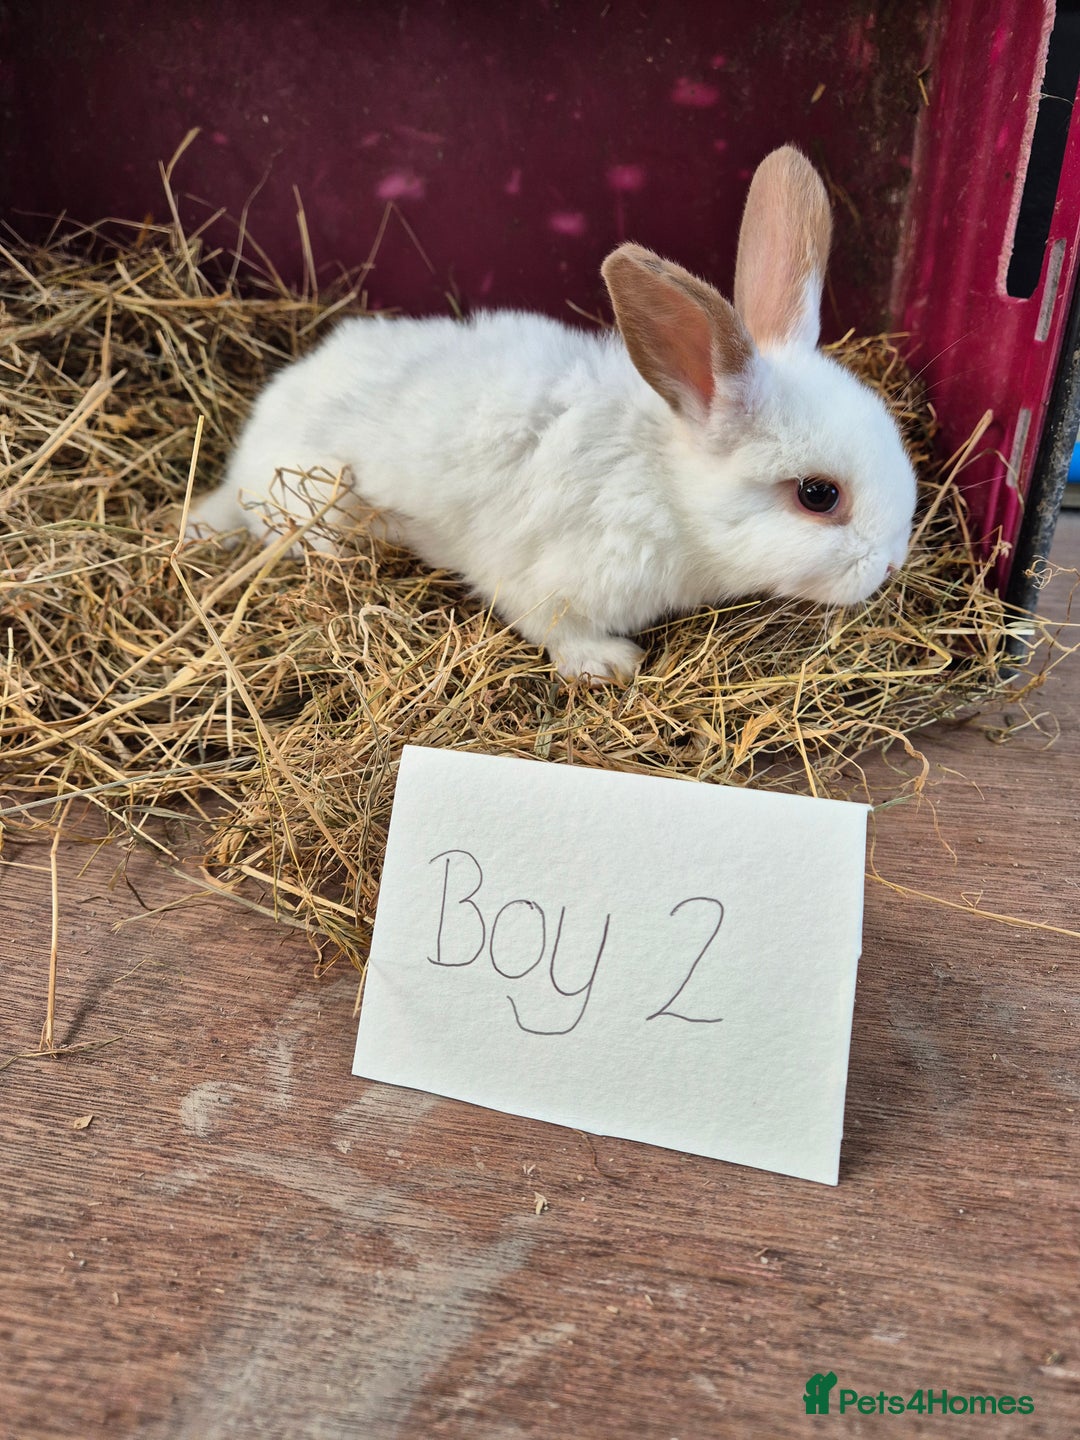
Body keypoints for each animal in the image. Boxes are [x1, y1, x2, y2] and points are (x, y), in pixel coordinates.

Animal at [185, 146, 917, 682]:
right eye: (818, 496)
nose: (889, 568)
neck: (668, 488)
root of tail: (240, 462)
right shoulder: (546, 583)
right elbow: (553, 626)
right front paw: (611, 665)